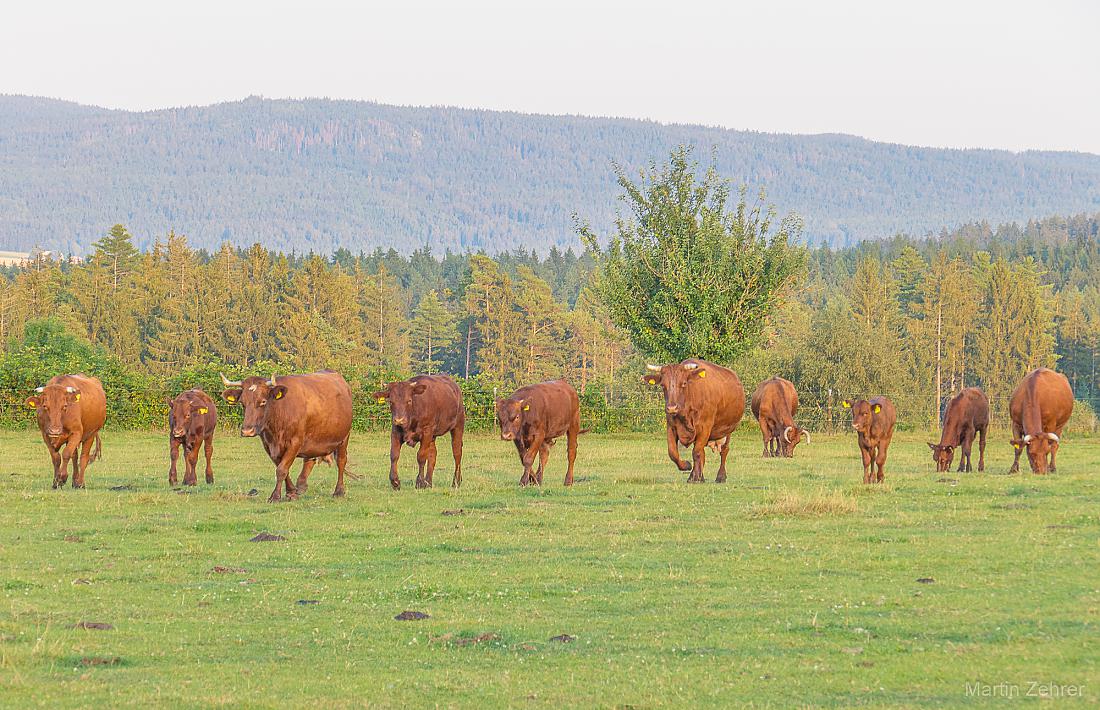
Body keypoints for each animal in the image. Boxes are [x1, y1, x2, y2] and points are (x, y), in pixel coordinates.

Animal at [224, 367, 356, 501]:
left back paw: (339, 491)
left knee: (341, 461)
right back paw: (301, 485)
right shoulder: (268, 445)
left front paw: (275, 496)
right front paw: (291, 491)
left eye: (263, 402)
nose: (247, 431)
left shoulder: (295, 442)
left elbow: (281, 469)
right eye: (242, 403)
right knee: (310, 459)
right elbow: (283, 468)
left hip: (344, 437)